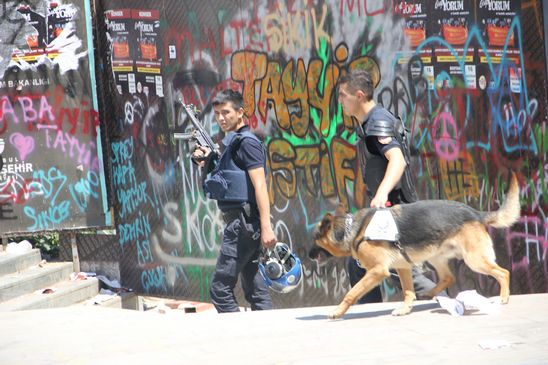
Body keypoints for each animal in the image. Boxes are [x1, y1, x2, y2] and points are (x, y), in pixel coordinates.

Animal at [312, 172, 520, 318]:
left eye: (314, 240)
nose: (307, 255)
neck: (351, 229)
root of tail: (476, 213)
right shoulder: (403, 267)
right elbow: (408, 291)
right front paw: (405, 309)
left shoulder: (377, 271)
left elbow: (352, 293)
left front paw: (337, 311)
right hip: (437, 257)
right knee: (448, 277)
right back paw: (431, 293)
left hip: (474, 259)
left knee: (503, 272)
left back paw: (504, 297)